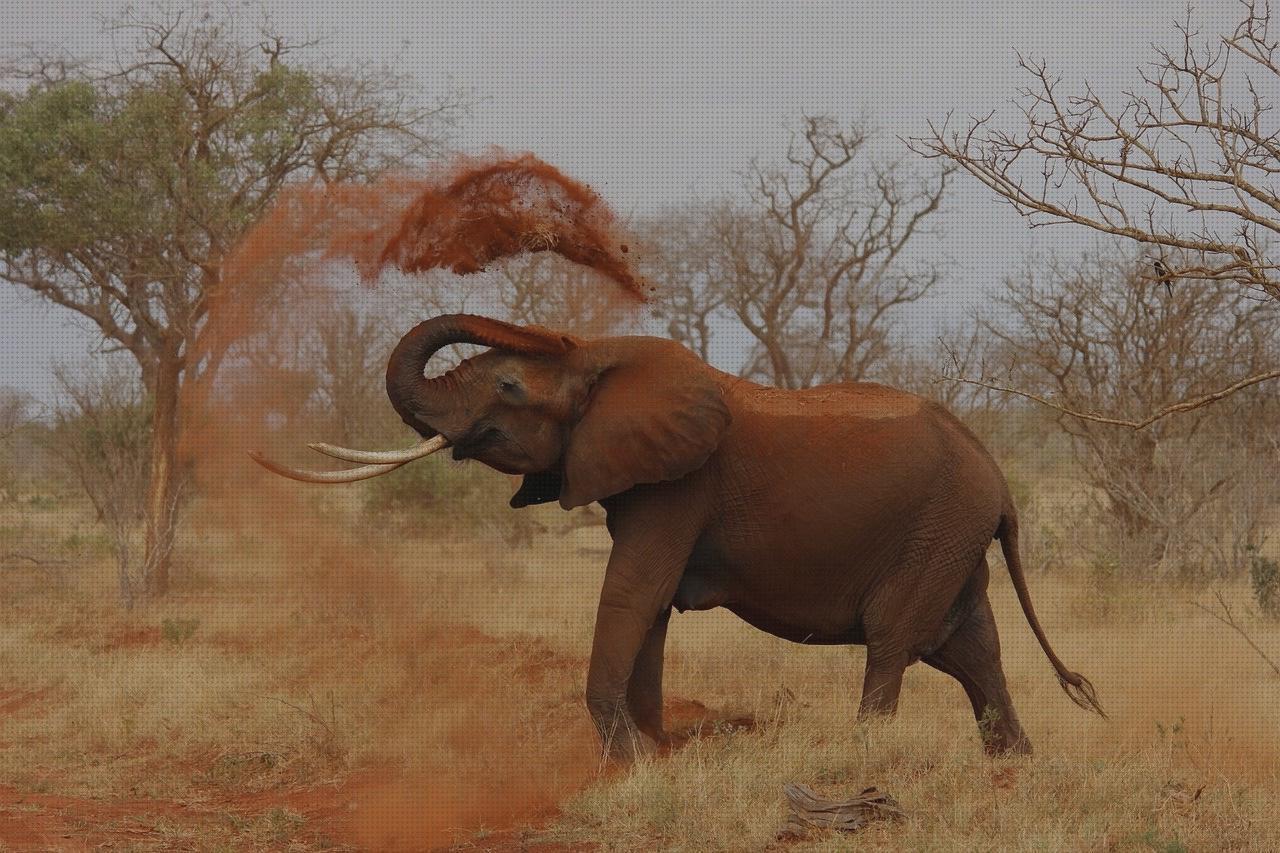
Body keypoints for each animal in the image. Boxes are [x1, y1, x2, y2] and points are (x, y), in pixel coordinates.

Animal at [257, 312, 1100, 758]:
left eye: (507, 385)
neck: (601, 360)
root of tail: (999, 477)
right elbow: (651, 605)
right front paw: (654, 749)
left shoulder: (679, 485)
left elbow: (635, 589)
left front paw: (627, 757)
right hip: (952, 534)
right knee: (970, 647)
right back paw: (1013, 767)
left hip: (938, 528)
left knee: (897, 639)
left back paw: (868, 753)